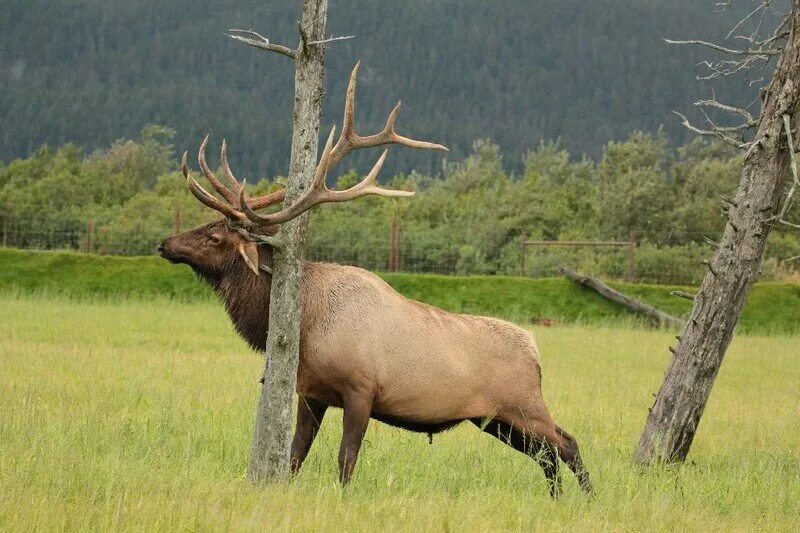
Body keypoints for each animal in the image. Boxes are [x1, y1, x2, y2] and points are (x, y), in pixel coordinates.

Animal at [159, 64, 592, 496]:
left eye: (215, 237)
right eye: (206, 224)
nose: (165, 244)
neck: (308, 325)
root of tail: (535, 352)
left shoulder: (361, 388)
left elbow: (346, 457)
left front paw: (342, 498)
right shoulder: (312, 392)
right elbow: (296, 455)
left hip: (524, 405)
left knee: (566, 443)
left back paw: (588, 500)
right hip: (493, 419)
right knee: (546, 455)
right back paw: (557, 499)